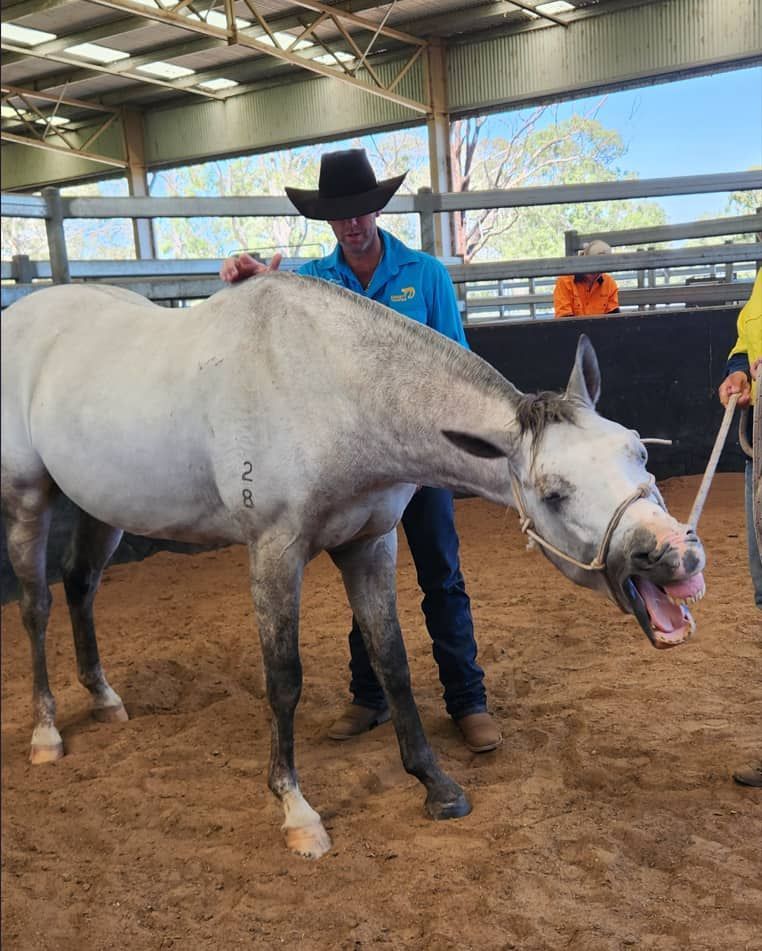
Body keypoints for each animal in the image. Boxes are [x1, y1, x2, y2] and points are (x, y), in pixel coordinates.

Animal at [1, 273, 706, 859]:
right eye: (554, 492)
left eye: (638, 451)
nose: (675, 556)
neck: (327, 390)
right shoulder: (274, 550)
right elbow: (283, 678)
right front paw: (296, 812)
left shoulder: (370, 544)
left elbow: (392, 660)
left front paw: (436, 785)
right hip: (29, 501)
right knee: (37, 607)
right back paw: (46, 734)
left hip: (101, 507)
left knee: (81, 587)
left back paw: (103, 699)